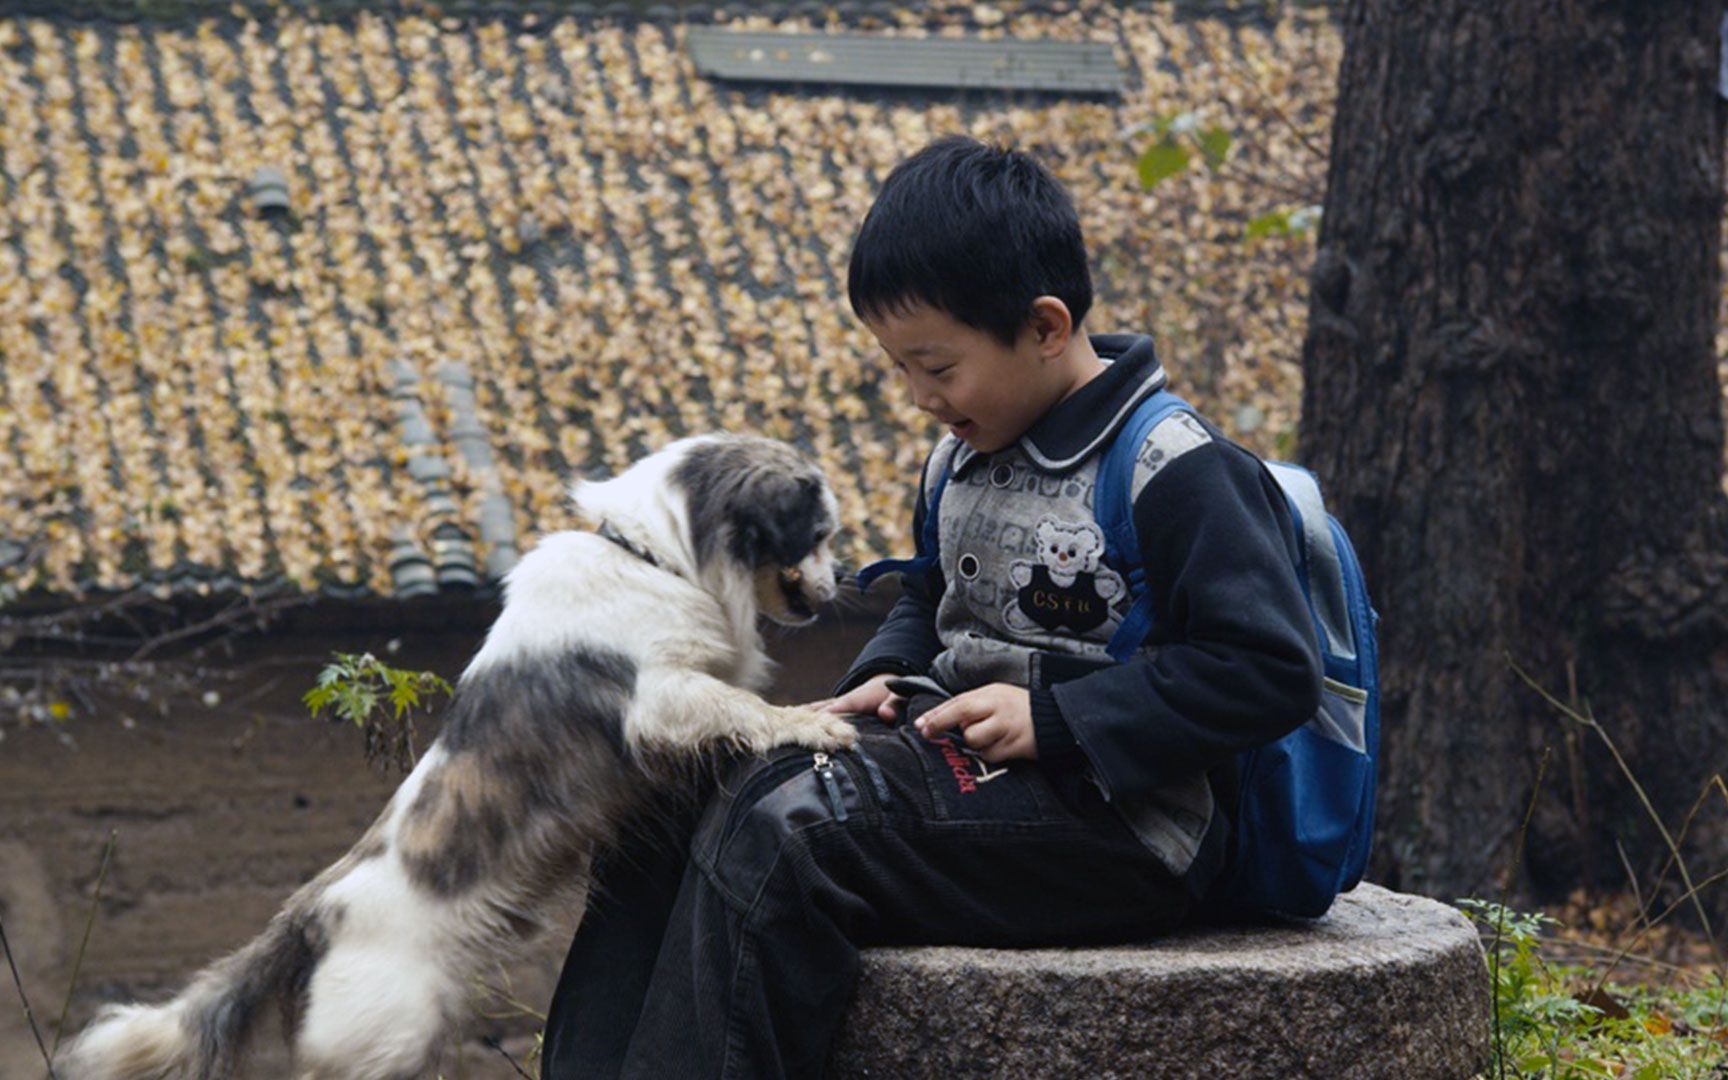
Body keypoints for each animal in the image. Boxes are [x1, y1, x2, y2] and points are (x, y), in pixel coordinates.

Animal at [63, 432, 860, 1078]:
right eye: (818, 534)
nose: (842, 582)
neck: (655, 556)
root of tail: (310, 913)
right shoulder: (661, 696)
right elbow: (740, 707)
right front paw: (808, 723)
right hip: (388, 1039)